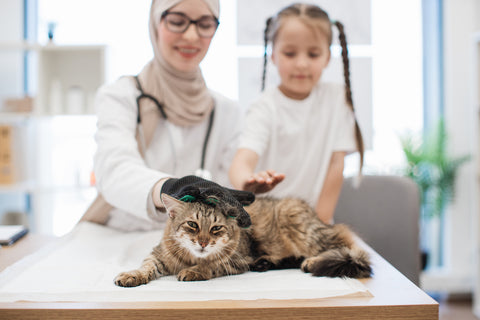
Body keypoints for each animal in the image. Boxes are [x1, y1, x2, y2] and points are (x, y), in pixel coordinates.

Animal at [113, 195, 372, 288]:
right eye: (192, 225)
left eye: (216, 228)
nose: (203, 242)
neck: (189, 257)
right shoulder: (158, 256)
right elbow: (146, 267)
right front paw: (131, 275)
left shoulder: (237, 260)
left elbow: (210, 264)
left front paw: (194, 271)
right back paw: (266, 263)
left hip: (303, 227)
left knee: (348, 244)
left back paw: (311, 262)